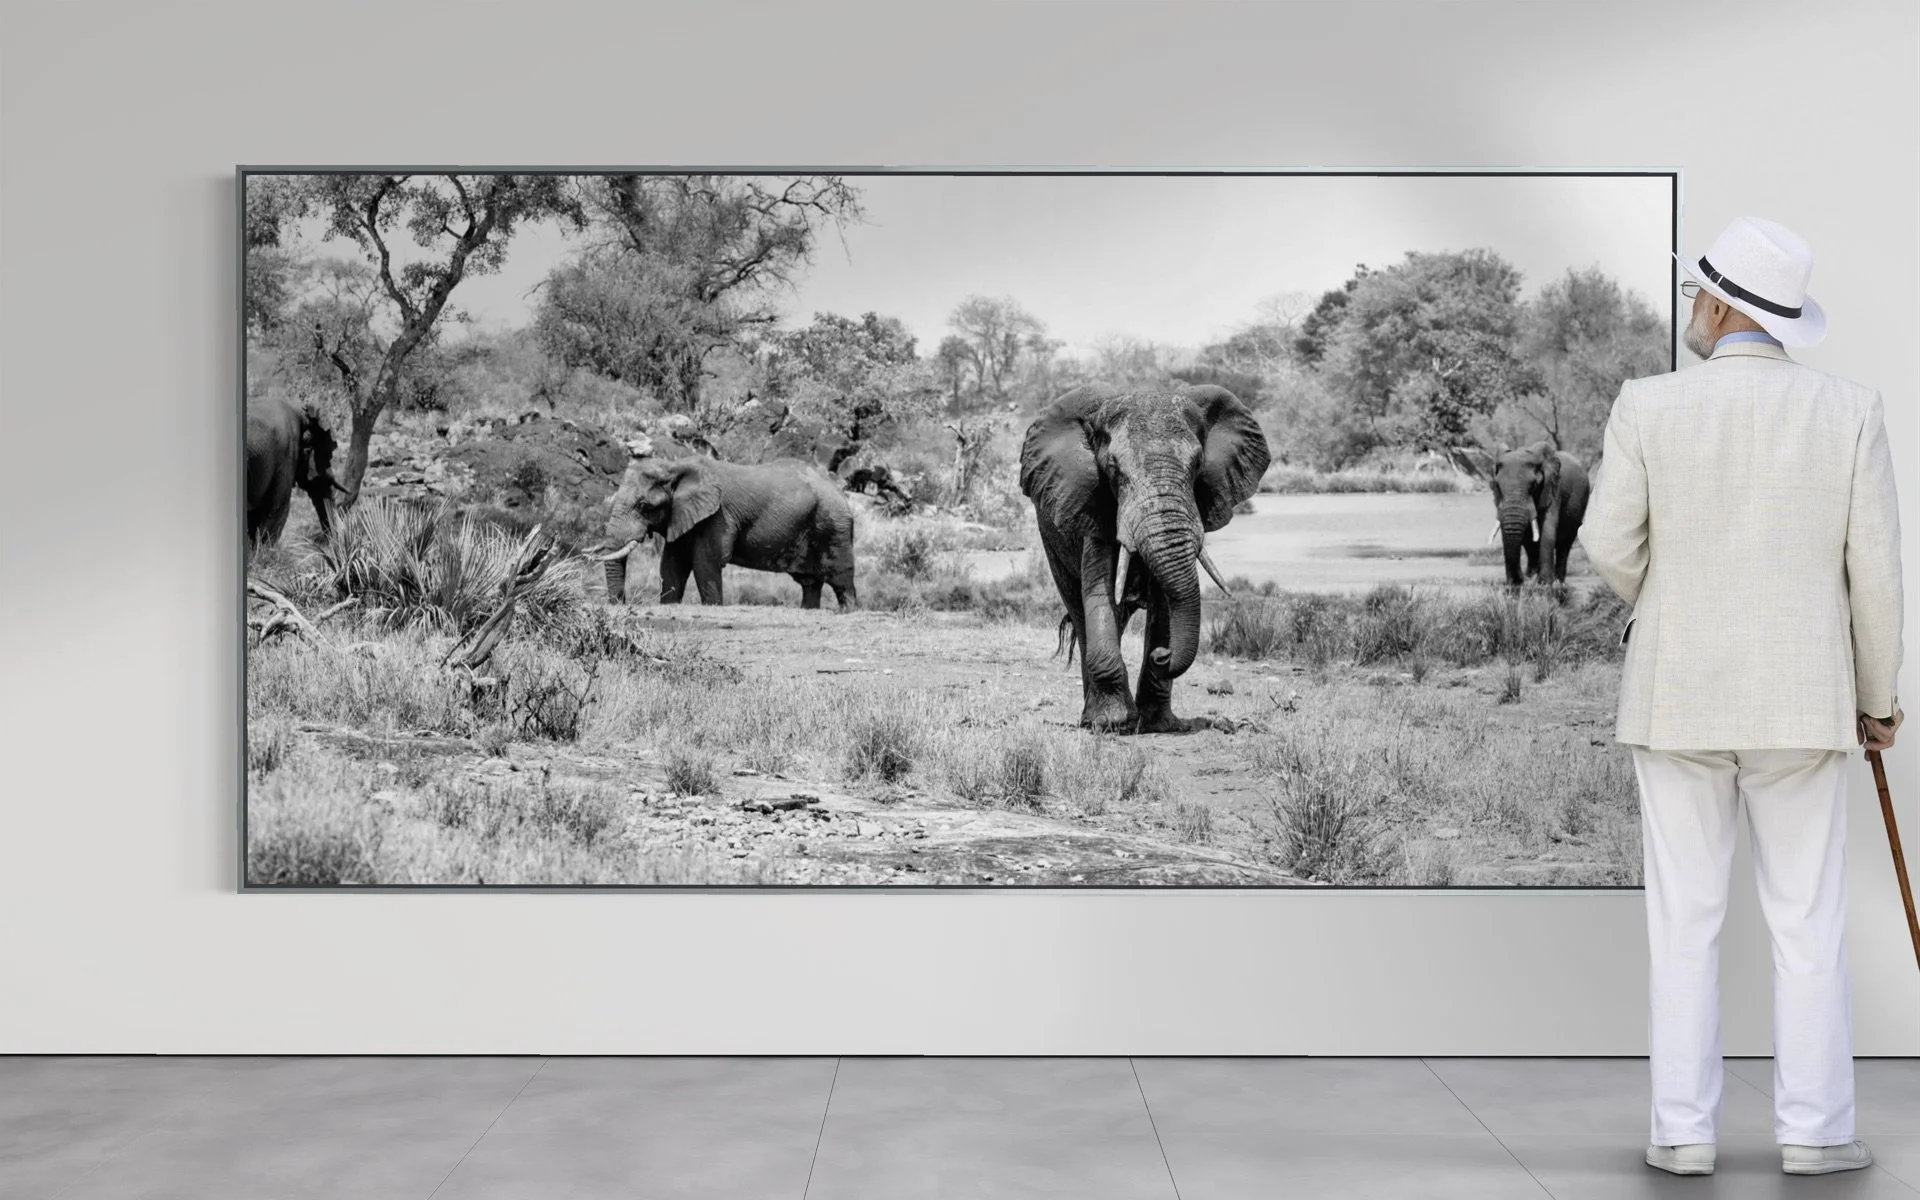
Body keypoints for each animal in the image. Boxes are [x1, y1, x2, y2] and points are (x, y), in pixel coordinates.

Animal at [597, 455, 857, 609]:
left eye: (644, 506)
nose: (621, 603)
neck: (674, 466)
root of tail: (839, 488)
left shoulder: (717, 516)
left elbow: (705, 563)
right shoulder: (683, 515)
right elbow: (672, 565)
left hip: (833, 525)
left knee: (841, 579)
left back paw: (848, 610)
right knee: (810, 583)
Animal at [1020, 383, 1270, 733]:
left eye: (1197, 465)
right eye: (1113, 469)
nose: (1163, 655)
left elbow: (1165, 604)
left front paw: (1157, 724)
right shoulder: (1095, 506)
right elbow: (1100, 591)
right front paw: (1113, 723)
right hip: (1052, 537)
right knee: (1080, 613)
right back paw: (1091, 719)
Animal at [1449, 441, 1591, 586]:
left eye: (1534, 485)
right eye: (1497, 485)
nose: (1520, 579)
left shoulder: (1553, 489)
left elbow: (1547, 529)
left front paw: (1544, 584)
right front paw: (1522, 582)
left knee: (1565, 545)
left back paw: (1558, 582)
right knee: (1530, 544)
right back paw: (1534, 576)